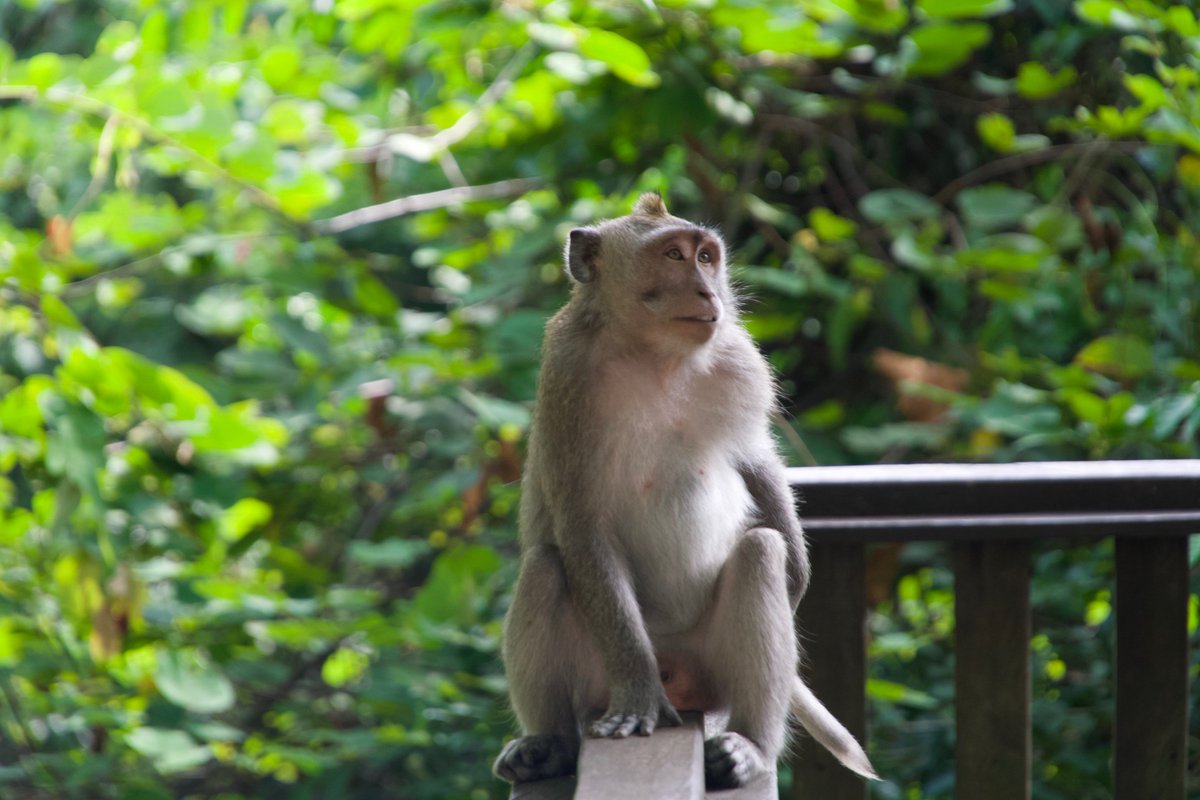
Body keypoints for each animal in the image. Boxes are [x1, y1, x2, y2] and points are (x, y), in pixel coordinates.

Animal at [493, 193, 877, 789]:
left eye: (706, 257)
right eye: (673, 256)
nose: (708, 292)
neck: (656, 356)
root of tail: (679, 673)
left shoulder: (740, 359)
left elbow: (754, 456)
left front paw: (797, 574)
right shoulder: (566, 376)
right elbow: (581, 525)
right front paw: (637, 693)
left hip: (712, 664)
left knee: (760, 553)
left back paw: (750, 747)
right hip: (597, 672)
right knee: (545, 567)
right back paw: (550, 745)